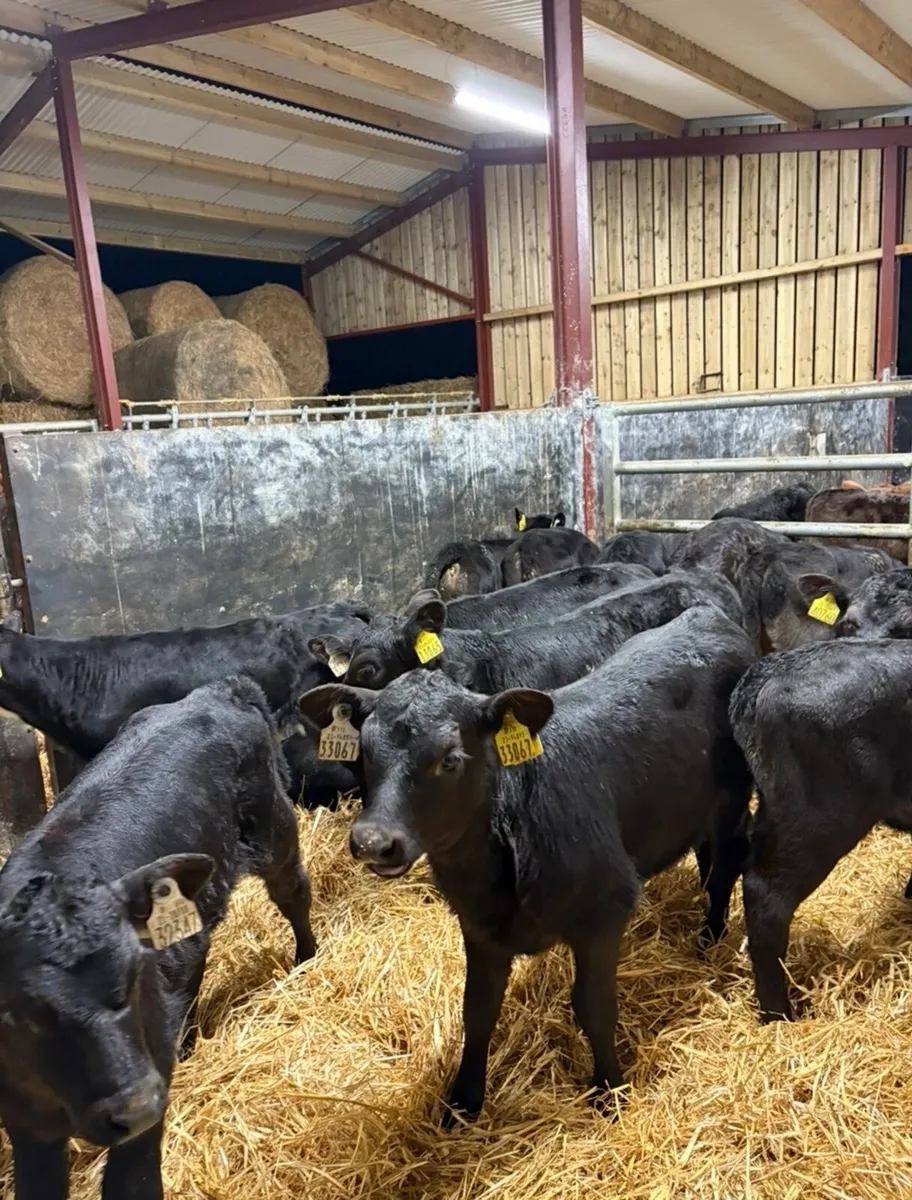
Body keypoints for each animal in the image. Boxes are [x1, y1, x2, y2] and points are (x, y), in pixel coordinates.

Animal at [0, 677, 314, 1200]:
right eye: (19, 1014)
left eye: (131, 978)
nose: (138, 1106)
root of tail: (218, 691)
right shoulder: (24, 1120)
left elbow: (134, 1180)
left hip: (274, 830)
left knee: (293, 892)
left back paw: (307, 960)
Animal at [300, 606, 755, 1120]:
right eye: (366, 751)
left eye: (450, 758)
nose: (374, 841)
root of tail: (707, 615)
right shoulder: (480, 927)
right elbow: (477, 1011)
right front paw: (463, 1103)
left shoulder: (606, 910)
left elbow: (595, 1007)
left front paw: (609, 1091)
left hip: (733, 797)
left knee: (728, 861)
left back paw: (710, 937)